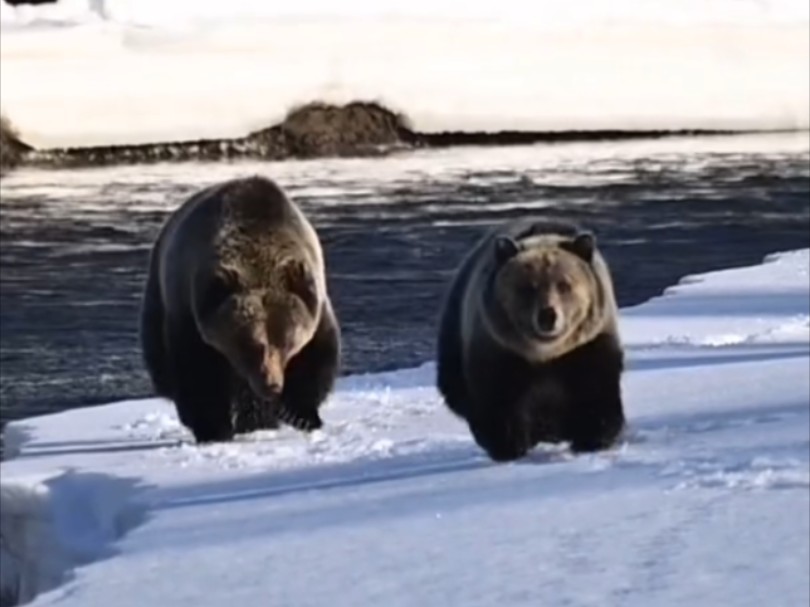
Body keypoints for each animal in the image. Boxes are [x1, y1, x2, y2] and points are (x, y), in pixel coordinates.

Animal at [140, 175, 340, 442]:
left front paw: (300, 415)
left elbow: (316, 357)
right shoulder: (189, 314)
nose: (271, 385)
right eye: (251, 345)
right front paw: (213, 427)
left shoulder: (313, 305)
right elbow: (196, 373)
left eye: (287, 343)